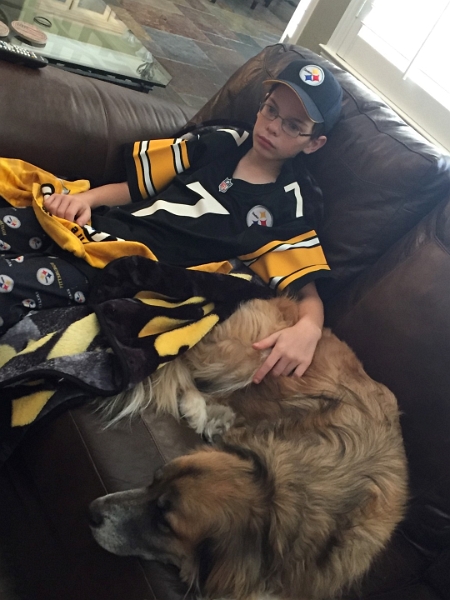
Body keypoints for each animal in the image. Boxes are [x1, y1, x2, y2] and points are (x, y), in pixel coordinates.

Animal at [90, 296, 408, 600]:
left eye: (165, 524)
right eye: (153, 480)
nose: (92, 512)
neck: (278, 500)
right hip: (251, 356)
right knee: (189, 370)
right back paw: (198, 409)